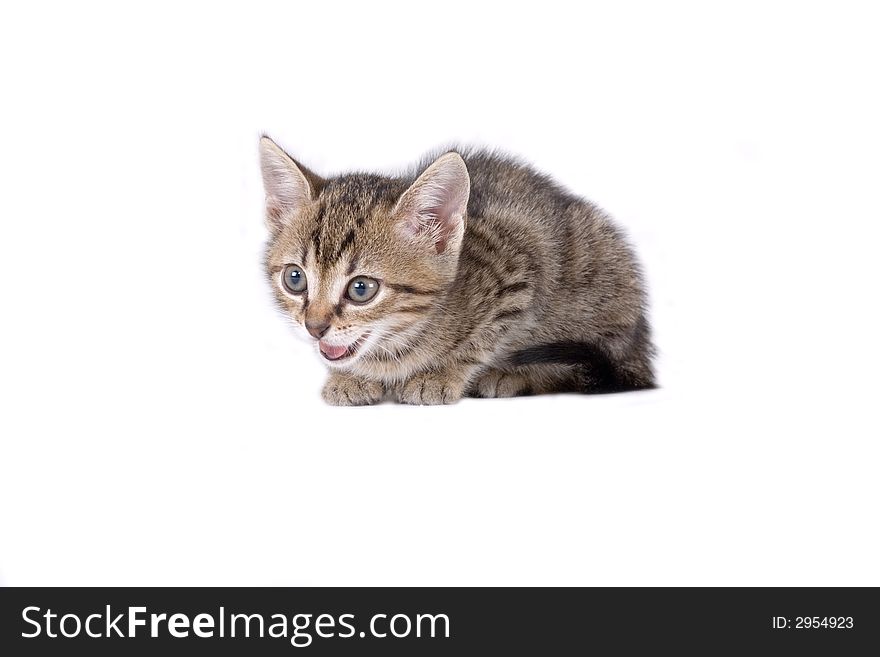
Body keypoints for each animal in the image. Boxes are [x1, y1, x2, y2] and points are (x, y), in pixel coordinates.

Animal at [262, 137, 652, 404]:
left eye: (361, 289)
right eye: (295, 279)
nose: (314, 328)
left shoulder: (519, 271)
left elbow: (482, 340)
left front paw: (439, 375)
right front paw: (349, 377)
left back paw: (513, 377)